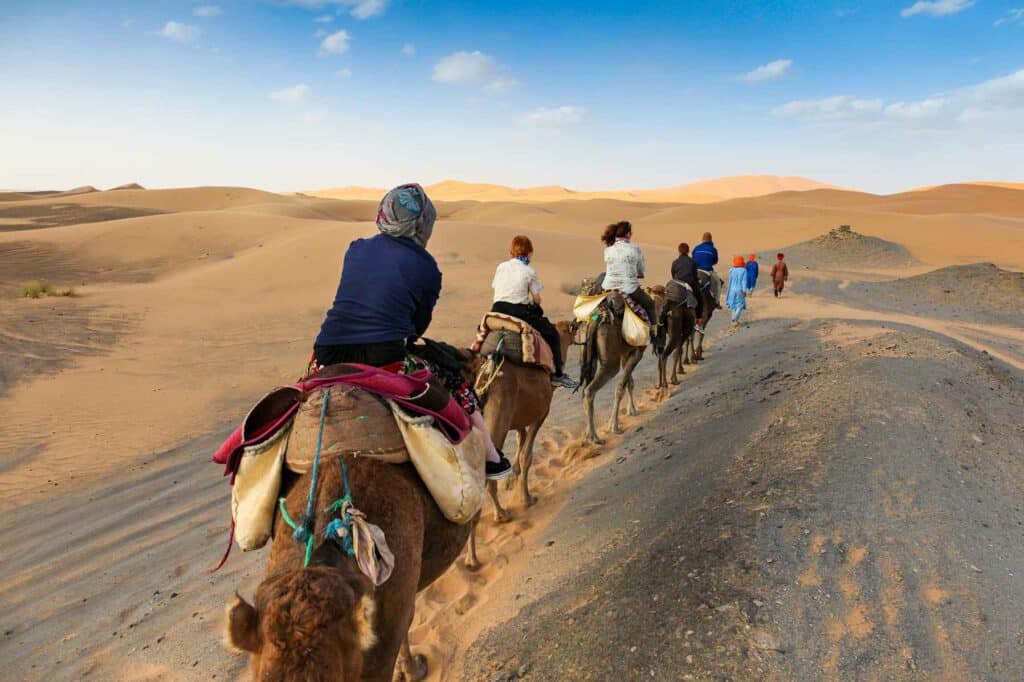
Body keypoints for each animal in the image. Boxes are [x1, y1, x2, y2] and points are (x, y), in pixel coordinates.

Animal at [466, 319, 577, 569]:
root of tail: (484, 376)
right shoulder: (540, 414)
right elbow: (527, 456)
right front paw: (526, 499)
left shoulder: (518, 421)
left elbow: (520, 443)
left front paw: (512, 483)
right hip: (497, 416)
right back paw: (478, 550)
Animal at [581, 284, 667, 440]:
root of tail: (597, 319)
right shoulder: (638, 352)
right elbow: (621, 387)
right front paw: (613, 425)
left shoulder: (626, 353)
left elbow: (629, 383)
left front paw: (631, 410)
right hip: (610, 362)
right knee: (590, 390)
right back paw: (593, 437)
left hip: (592, 353)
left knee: (586, 389)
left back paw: (587, 434)